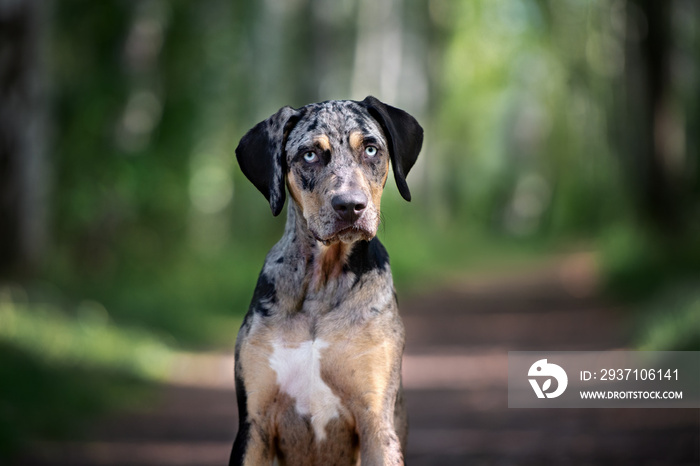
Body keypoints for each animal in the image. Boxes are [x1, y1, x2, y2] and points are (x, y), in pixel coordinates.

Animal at [232, 95, 424, 466]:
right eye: (309, 155)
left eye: (370, 149)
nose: (350, 206)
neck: (321, 283)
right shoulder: (254, 424)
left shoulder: (376, 420)